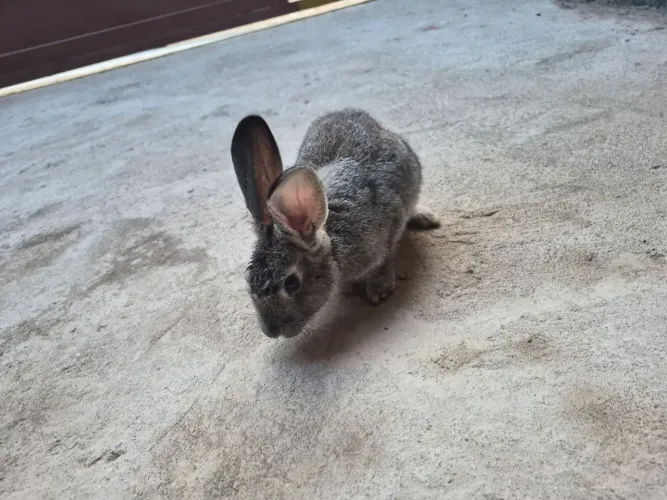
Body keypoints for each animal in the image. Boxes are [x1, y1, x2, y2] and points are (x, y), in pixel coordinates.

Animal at [231, 108, 439, 339]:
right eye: (248, 277)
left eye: (291, 283)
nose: (271, 332)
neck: (333, 244)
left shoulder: (389, 229)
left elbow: (384, 260)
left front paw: (379, 290)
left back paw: (426, 216)